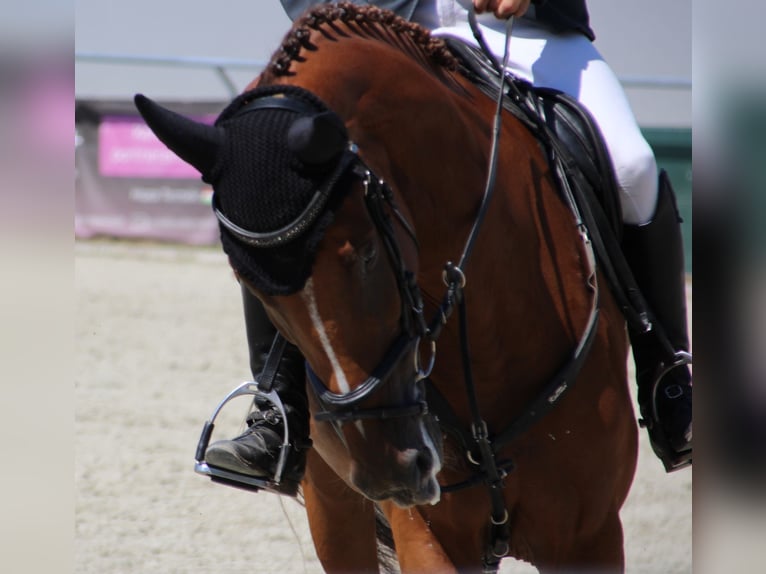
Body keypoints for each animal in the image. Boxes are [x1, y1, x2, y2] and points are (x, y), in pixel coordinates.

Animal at [147, 4, 640, 574]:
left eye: (366, 253)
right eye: (250, 285)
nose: (393, 469)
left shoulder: (590, 537)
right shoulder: (426, 534)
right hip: (333, 501)